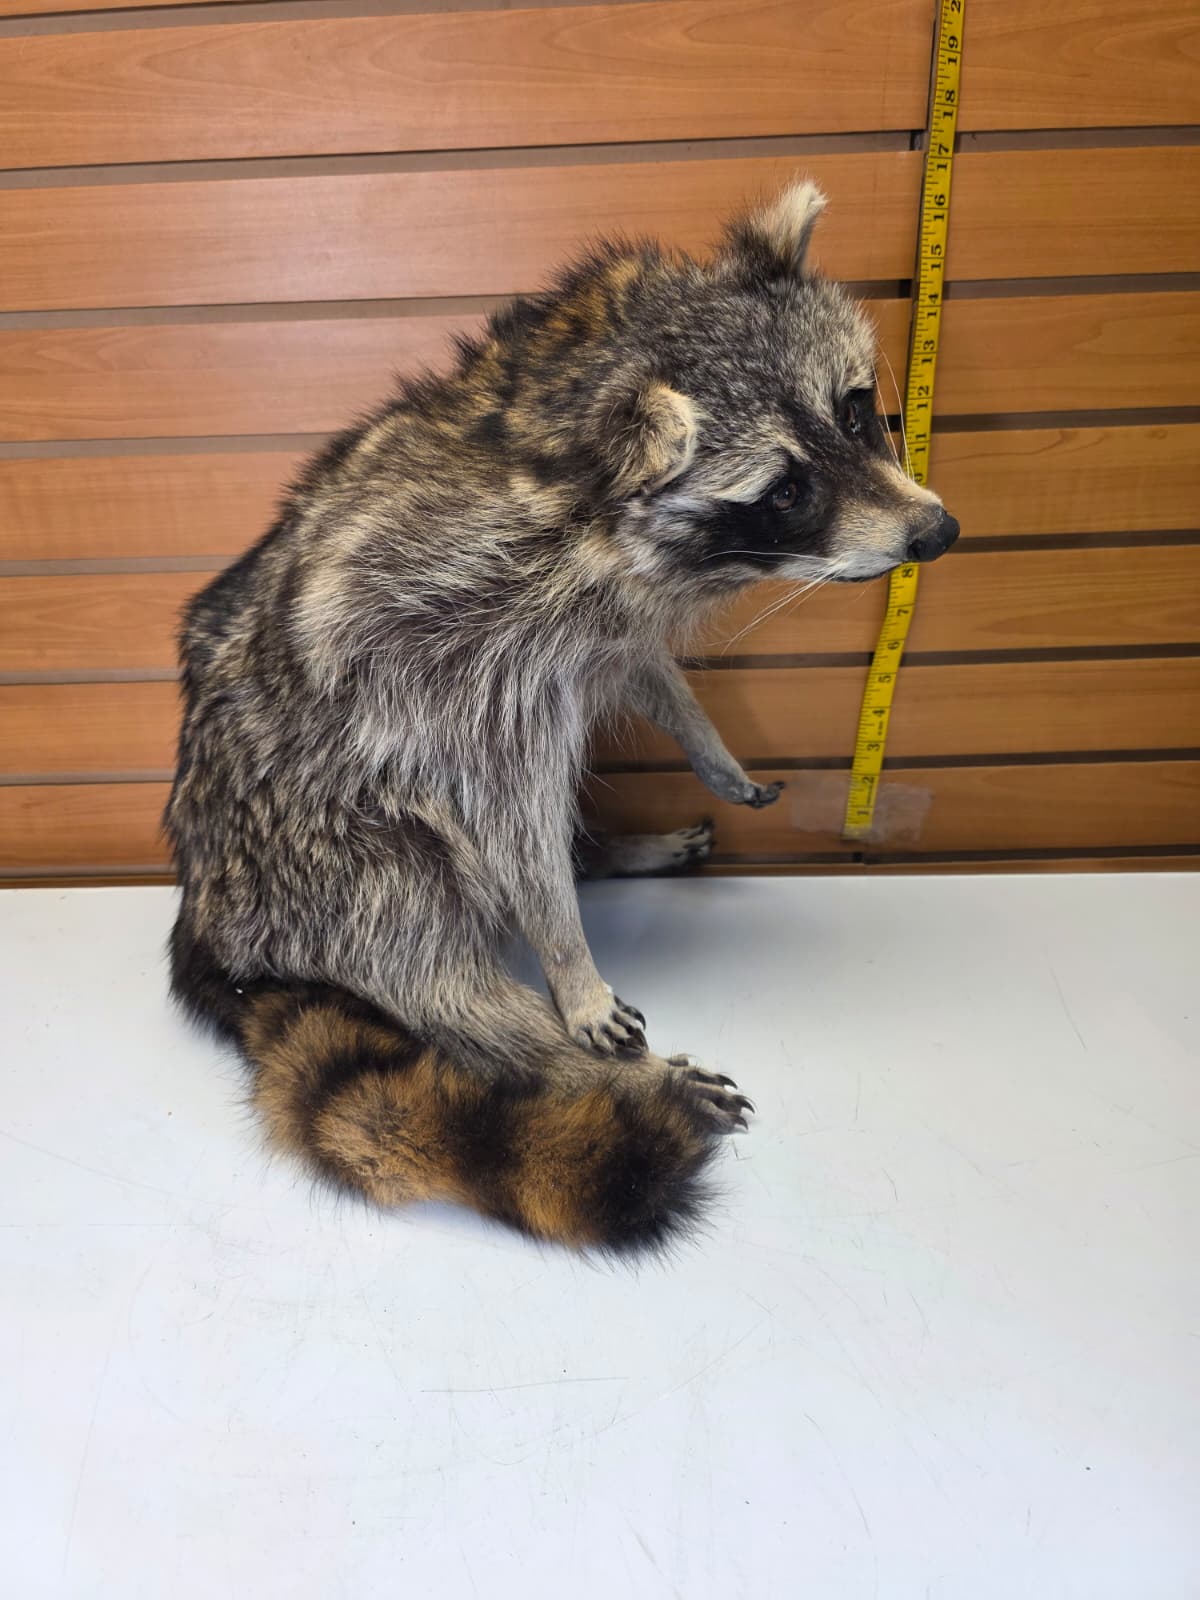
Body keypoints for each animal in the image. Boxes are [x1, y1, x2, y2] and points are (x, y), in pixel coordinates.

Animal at [166, 180, 958, 1254]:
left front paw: (703, 738)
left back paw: (611, 852)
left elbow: (635, 664)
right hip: (326, 848)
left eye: (858, 410)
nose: (937, 532)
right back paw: (588, 1061)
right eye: (786, 487)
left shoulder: (592, 623)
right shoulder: (454, 652)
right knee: (430, 960)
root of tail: (202, 896)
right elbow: (511, 818)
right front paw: (571, 966)